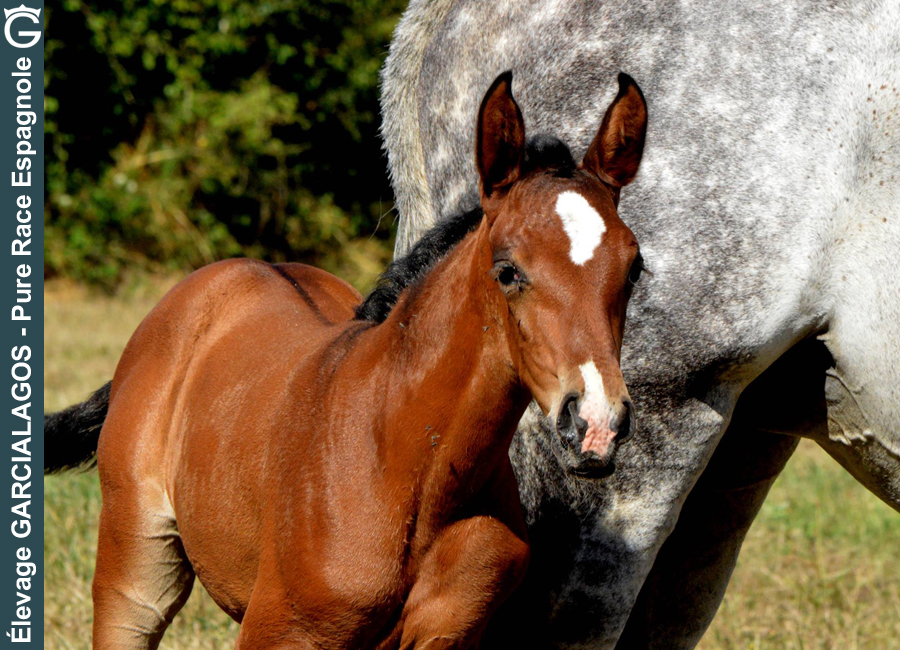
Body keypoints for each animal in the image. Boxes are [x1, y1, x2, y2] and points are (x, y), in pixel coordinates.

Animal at [47, 68, 648, 644]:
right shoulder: (280, 630)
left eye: (634, 269)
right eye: (507, 271)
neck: (408, 469)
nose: (595, 421)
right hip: (135, 568)